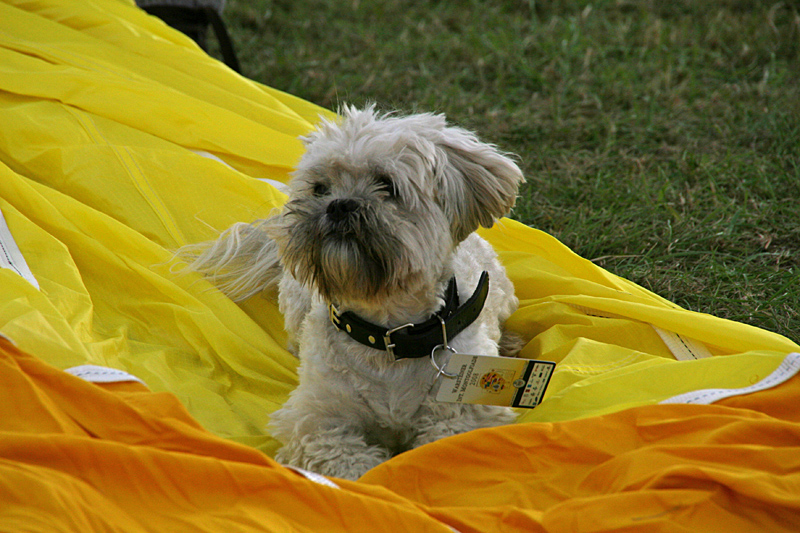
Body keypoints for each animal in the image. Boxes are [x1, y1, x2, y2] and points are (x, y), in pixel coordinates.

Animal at [184, 105, 528, 478]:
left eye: (386, 184)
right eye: (320, 187)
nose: (339, 204)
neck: (388, 333)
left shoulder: (467, 414)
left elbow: (440, 448)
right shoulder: (316, 418)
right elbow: (348, 461)